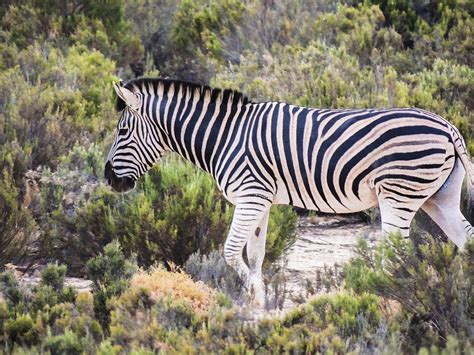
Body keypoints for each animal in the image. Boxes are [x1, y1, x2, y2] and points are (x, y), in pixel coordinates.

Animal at [105, 79, 472, 304]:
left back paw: (376, 298)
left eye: (122, 132)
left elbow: (230, 251)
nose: (109, 179)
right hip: (439, 198)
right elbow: (255, 255)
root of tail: (447, 126)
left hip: (398, 194)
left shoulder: (250, 197)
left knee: (394, 255)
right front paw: (259, 303)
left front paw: (254, 299)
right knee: (466, 238)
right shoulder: (260, 201)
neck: (225, 137)